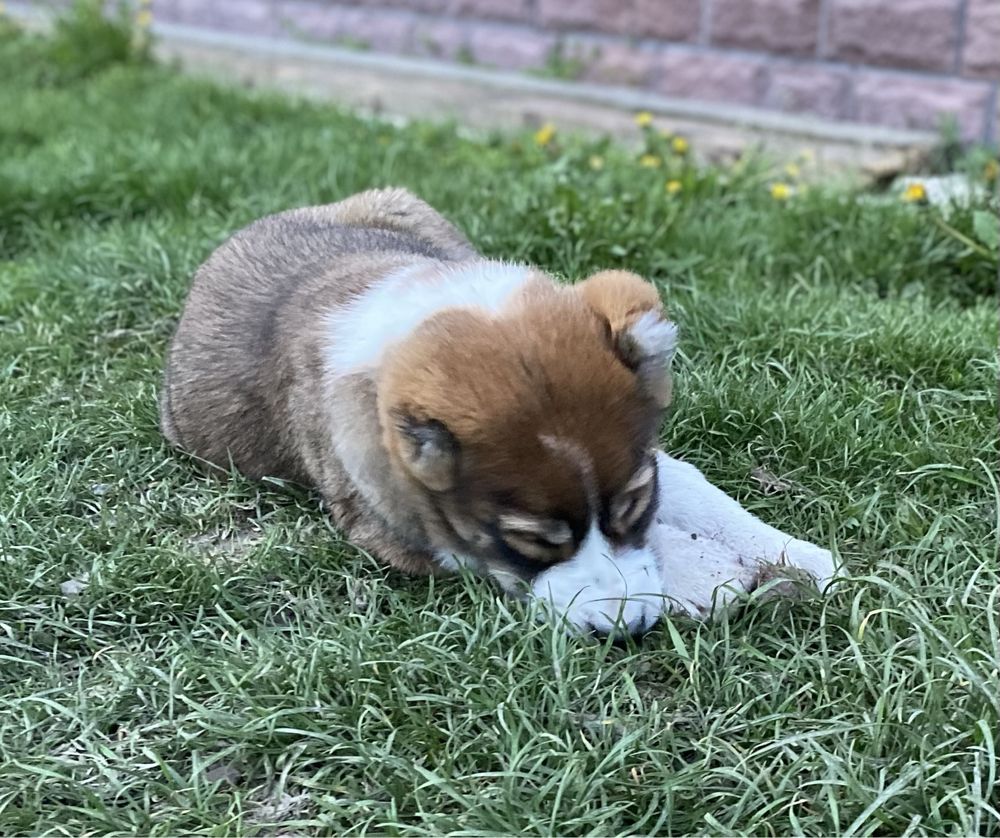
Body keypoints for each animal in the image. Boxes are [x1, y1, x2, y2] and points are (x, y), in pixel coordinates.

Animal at [160, 187, 832, 640]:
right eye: (529, 540)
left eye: (634, 502)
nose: (621, 630)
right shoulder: (394, 529)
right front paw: (700, 573)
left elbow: (690, 487)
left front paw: (792, 553)